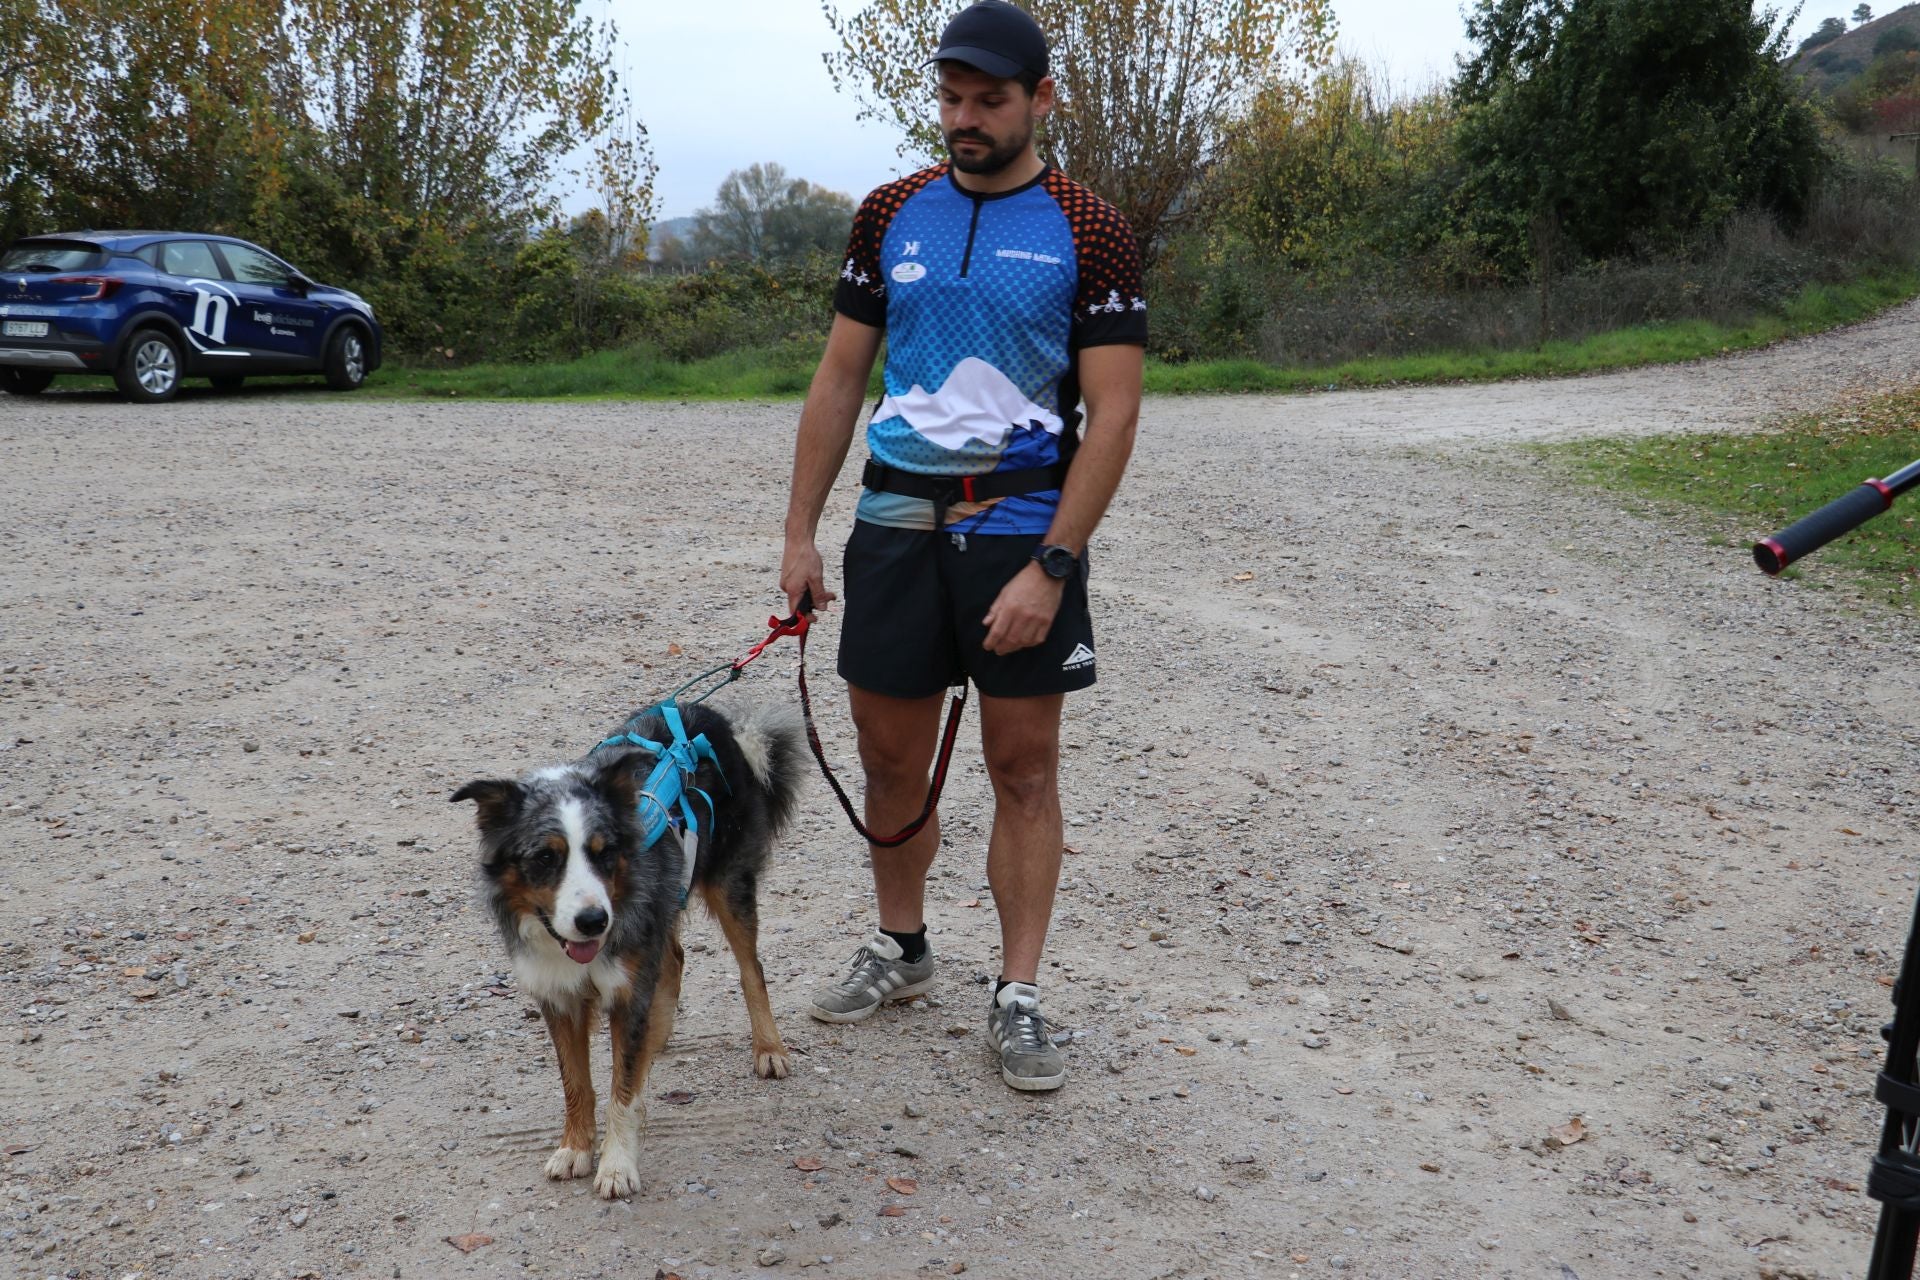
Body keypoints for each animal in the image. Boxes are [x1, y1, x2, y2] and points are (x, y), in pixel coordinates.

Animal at [449, 702, 802, 1205]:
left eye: (604, 852)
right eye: (544, 857)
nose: (594, 921)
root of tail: (705, 711)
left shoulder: (627, 989)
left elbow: (623, 1087)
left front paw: (617, 1164)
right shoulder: (559, 996)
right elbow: (576, 1082)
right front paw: (575, 1148)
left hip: (728, 881)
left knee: (750, 968)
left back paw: (768, 1048)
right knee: (674, 958)